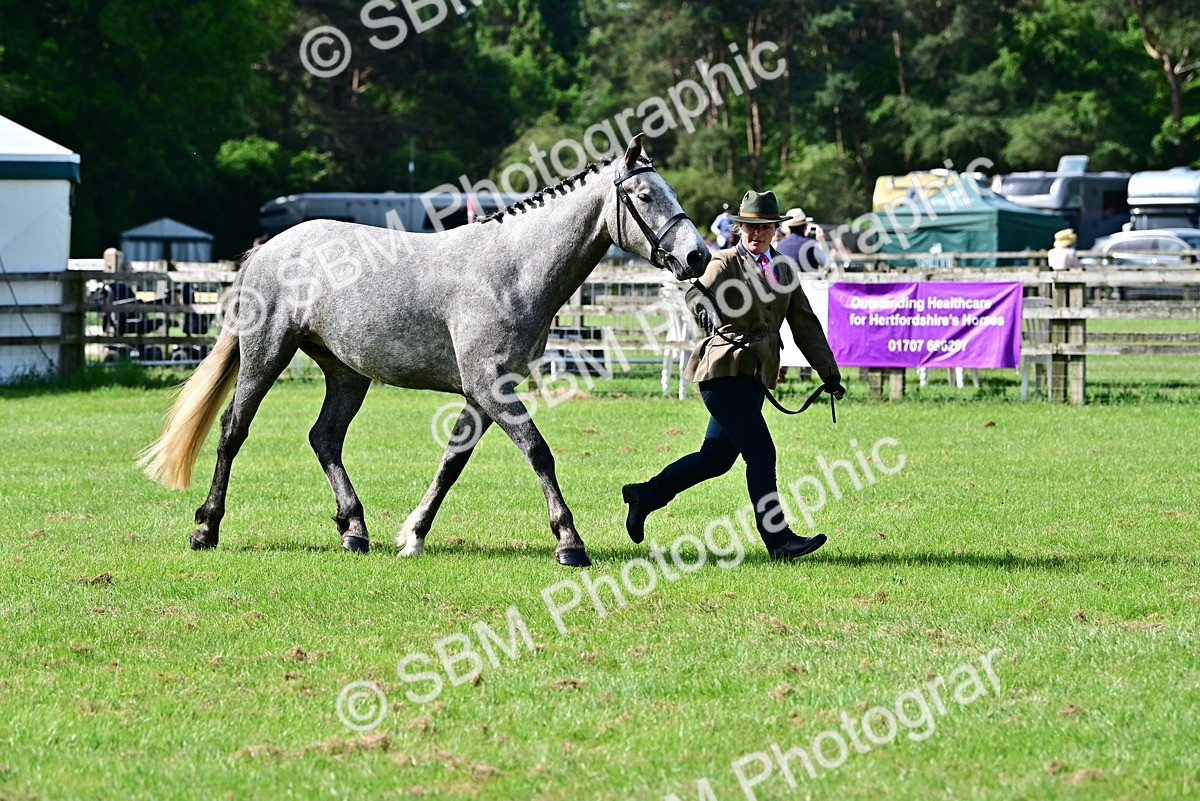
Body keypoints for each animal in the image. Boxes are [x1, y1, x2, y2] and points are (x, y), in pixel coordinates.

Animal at [139, 135, 711, 567]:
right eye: (645, 194)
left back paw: (354, 529)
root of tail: (267, 249)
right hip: (266, 356)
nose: (697, 256)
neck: (513, 268)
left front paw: (413, 534)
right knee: (233, 431)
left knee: (325, 438)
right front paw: (569, 542)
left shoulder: (485, 392)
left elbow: (452, 461)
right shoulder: (489, 386)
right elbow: (538, 452)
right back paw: (206, 528)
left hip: (346, 373)